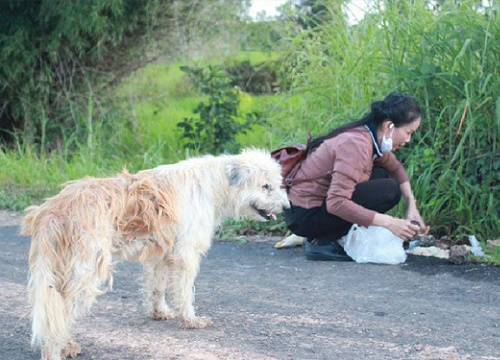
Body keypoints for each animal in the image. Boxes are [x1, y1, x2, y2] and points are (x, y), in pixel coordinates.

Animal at [21, 148, 290, 360]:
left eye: (276, 184)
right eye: (265, 186)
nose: (288, 207)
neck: (214, 184)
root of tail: (53, 211)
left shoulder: (160, 254)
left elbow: (158, 287)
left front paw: (159, 312)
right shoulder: (185, 255)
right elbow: (184, 292)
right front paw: (190, 319)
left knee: (57, 314)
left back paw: (66, 346)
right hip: (85, 274)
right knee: (59, 316)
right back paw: (55, 351)